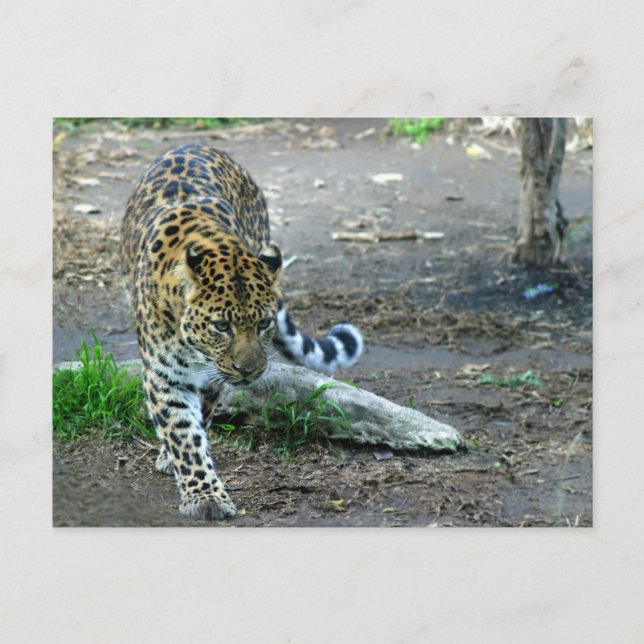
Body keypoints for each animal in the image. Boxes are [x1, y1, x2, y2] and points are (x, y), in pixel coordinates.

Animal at [121, 144, 363, 520]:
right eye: (222, 326)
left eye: (263, 324)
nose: (249, 371)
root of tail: (199, 144)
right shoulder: (164, 375)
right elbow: (182, 434)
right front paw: (203, 494)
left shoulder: (210, 379)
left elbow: (198, 421)